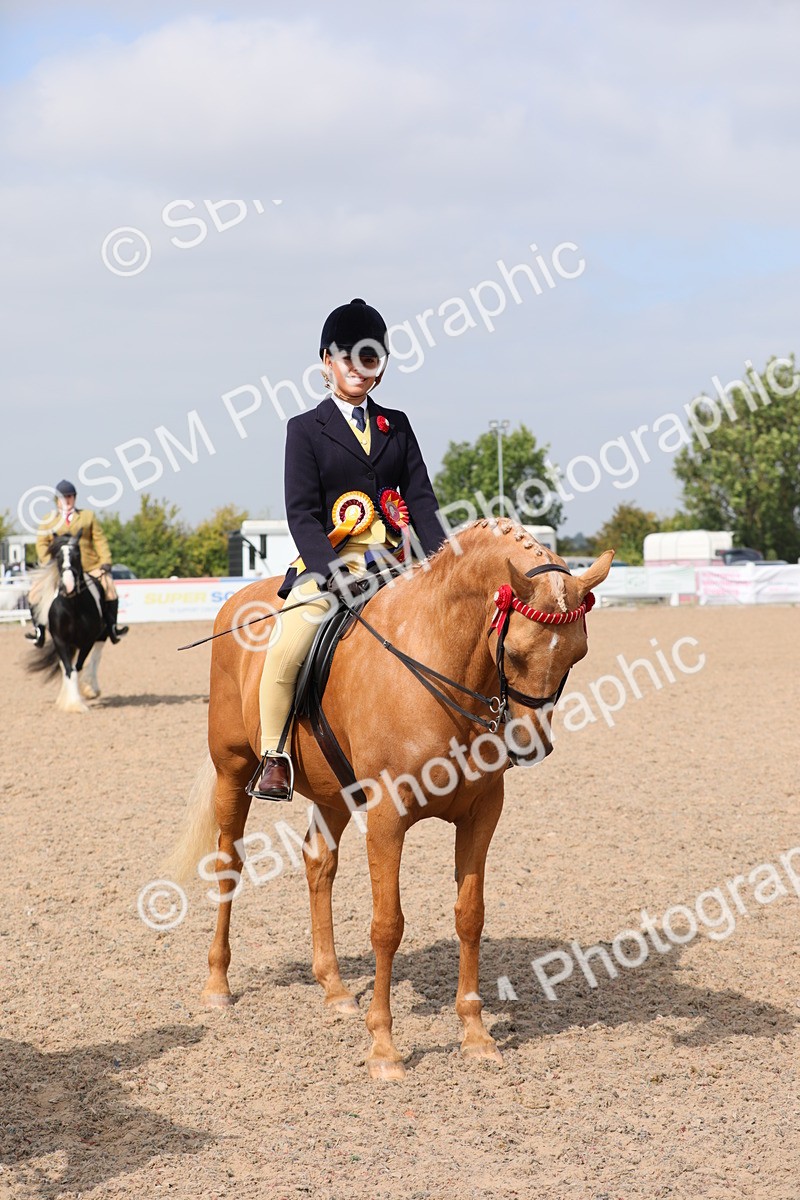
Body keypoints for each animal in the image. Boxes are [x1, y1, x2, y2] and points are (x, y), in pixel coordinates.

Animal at [26, 532, 107, 712]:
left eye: (77, 554)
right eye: (58, 557)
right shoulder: (60, 640)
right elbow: (69, 670)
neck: (73, 606)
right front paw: (73, 704)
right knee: (66, 666)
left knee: (97, 654)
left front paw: (75, 700)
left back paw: (91, 688)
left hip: (100, 636)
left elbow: (77, 667)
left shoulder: (87, 641)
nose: (68, 585)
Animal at [168, 519, 613, 1079]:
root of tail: (239, 599)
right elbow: (387, 925)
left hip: (333, 791)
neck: (442, 665)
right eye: (513, 653)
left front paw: (475, 1035)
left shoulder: (481, 815)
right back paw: (217, 985)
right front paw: (383, 1047)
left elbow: (470, 915)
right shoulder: (386, 817)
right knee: (229, 862)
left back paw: (335, 989)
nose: (530, 745)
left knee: (319, 862)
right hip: (233, 769)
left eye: (577, 654)